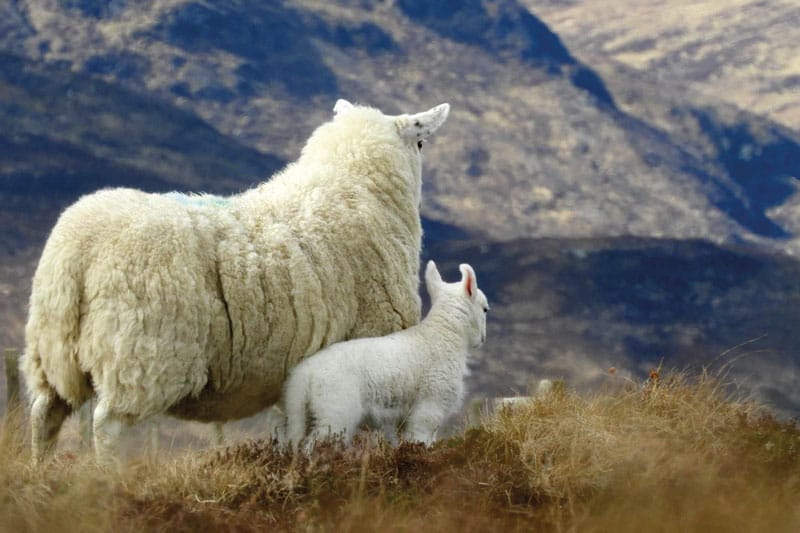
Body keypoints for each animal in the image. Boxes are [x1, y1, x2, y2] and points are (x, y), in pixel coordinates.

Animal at [22, 98, 450, 466]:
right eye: (421, 142)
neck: (352, 189)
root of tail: (78, 247)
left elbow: (286, 427)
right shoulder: (372, 341)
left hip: (51, 349)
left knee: (45, 414)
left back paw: (40, 475)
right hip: (141, 352)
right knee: (108, 425)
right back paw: (109, 480)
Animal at [284, 260, 489, 451]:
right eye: (485, 309)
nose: (483, 340)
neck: (445, 333)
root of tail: (305, 373)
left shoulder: (402, 418)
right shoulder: (430, 405)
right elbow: (421, 439)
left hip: (303, 411)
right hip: (335, 409)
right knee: (315, 444)